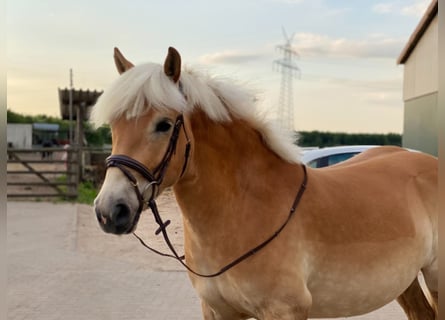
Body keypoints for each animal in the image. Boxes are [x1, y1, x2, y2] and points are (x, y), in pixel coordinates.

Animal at [93, 47, 438, 320]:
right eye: (113, 125)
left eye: (163, 124)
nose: (110, 210)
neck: (247, 207)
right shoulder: (218, 311)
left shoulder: (284, 310)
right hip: (406, 281)